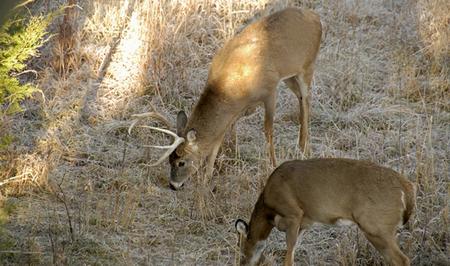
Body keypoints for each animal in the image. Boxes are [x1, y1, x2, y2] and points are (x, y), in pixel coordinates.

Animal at [128, 7, 322, 189]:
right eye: (170, 160)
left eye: (181, 162)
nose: (173, 185)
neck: (231, 87)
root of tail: (316, 18)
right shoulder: (235, 109)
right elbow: (219, 137)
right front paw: (207, 178)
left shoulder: (270, 89)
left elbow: (268, 131)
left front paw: (273, 165)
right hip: (291, 76)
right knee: (301, 98)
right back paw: (302, 146)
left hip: (307, 66)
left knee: (306, 101)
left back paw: (304, 148)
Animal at [236, 159, 414, 264]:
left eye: (240, 248)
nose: (242, 263)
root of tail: (406, 187)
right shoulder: (304, 223)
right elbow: (294, 249)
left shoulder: (293, 213)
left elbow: (289, 254)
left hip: (376, 227)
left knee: (402, 260)